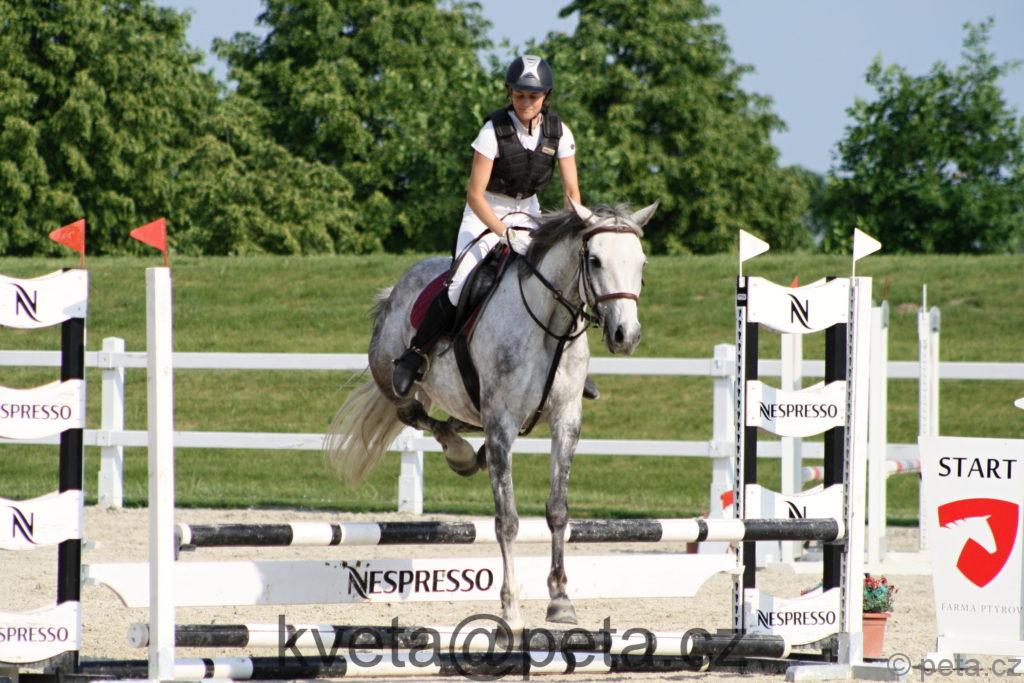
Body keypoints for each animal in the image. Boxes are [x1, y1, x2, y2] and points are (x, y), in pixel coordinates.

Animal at [325, 198, 656, 632]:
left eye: (641, 262)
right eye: (595, 260)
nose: (625, 336)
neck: (549, 325)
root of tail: (396, 288)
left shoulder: (566, 421)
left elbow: (558, 510)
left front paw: (560, 600)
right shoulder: (501, 424)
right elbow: (508, 521)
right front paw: (511, 611)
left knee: (452, 419)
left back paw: (468, 452)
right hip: (394, 379)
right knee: (414, 411)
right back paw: (461, 453)